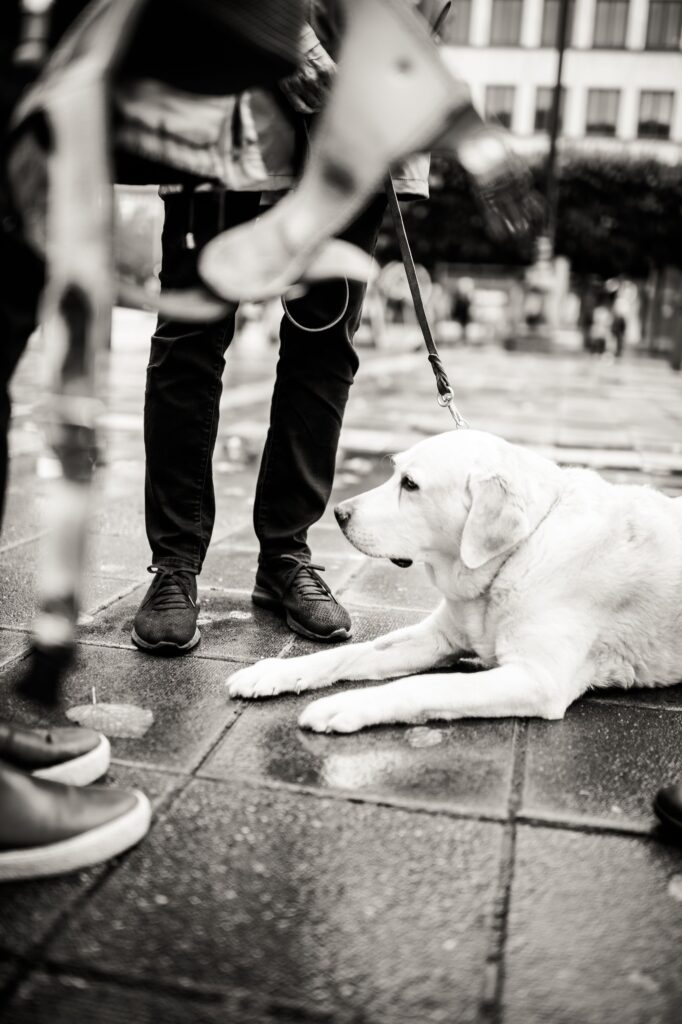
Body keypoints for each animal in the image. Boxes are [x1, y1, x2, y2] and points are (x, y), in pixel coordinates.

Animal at [227, 428, 679, 733]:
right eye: (395, 473)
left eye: (410, 485)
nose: (338, 514)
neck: (518, 553)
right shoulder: (437, 637)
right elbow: (344, 654)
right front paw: (272, 672)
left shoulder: (537, 678)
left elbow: (423, 688)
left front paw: (345, 705)